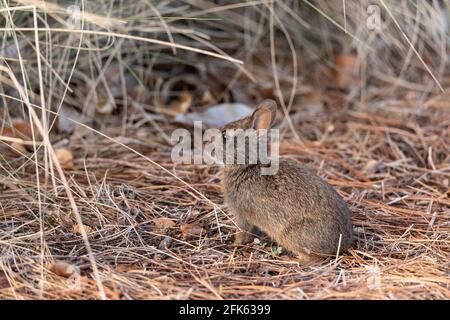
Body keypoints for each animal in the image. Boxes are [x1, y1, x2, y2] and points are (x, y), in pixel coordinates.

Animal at [220, 100, 354, 262]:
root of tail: (342, 244)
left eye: (225, 136)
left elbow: (242, 232)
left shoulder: (242, 214)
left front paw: (234, 244)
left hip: (291, 235)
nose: (205, 141)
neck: (246, 167)